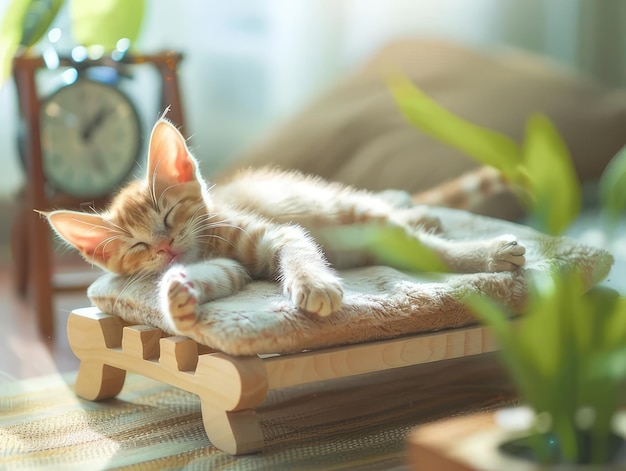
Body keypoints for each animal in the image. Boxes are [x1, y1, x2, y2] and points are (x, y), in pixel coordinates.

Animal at [41, 118, 524, 332]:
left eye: (168, 215)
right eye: (139, 247)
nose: (166, 247)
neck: (203, 245)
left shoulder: (271, 231)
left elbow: (298, 247)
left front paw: (314, 285)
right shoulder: (227, 266)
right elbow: (217, 275)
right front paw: (179, 297)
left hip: (346, 210)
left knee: (413, 232)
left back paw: (483, 246)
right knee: (413, 242)